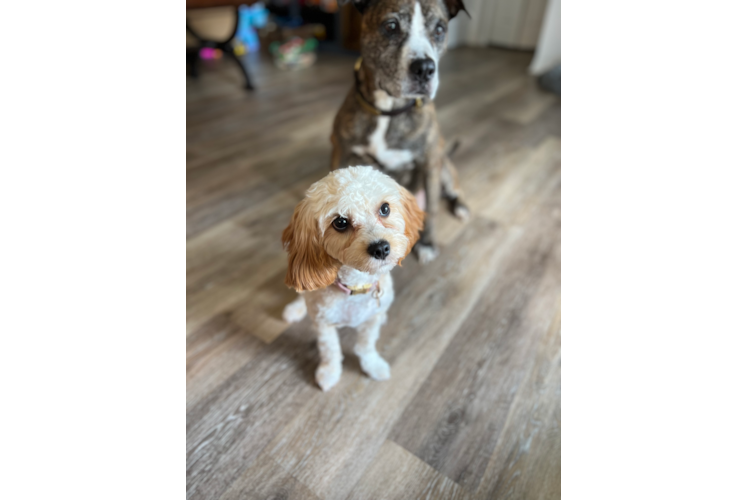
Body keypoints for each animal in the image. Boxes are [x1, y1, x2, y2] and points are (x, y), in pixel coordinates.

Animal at [280, 166, 424, 392]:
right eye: (340, 222)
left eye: (385, 208)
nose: (381, 248)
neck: (356, 286)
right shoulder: (324, 324)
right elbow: (330, 350)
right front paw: (329, 372)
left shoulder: (371, 320)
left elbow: (366, 345)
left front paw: (372, 365)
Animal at [332, 0, 468, 264]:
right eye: (391, 26)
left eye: (439, 29)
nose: (425, 68)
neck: (388, 109)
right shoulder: (341, 152)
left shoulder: (430, 163)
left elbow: (433, 209)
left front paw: (427, 244)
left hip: (444, 167)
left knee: (452, 192)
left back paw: (460, 207)